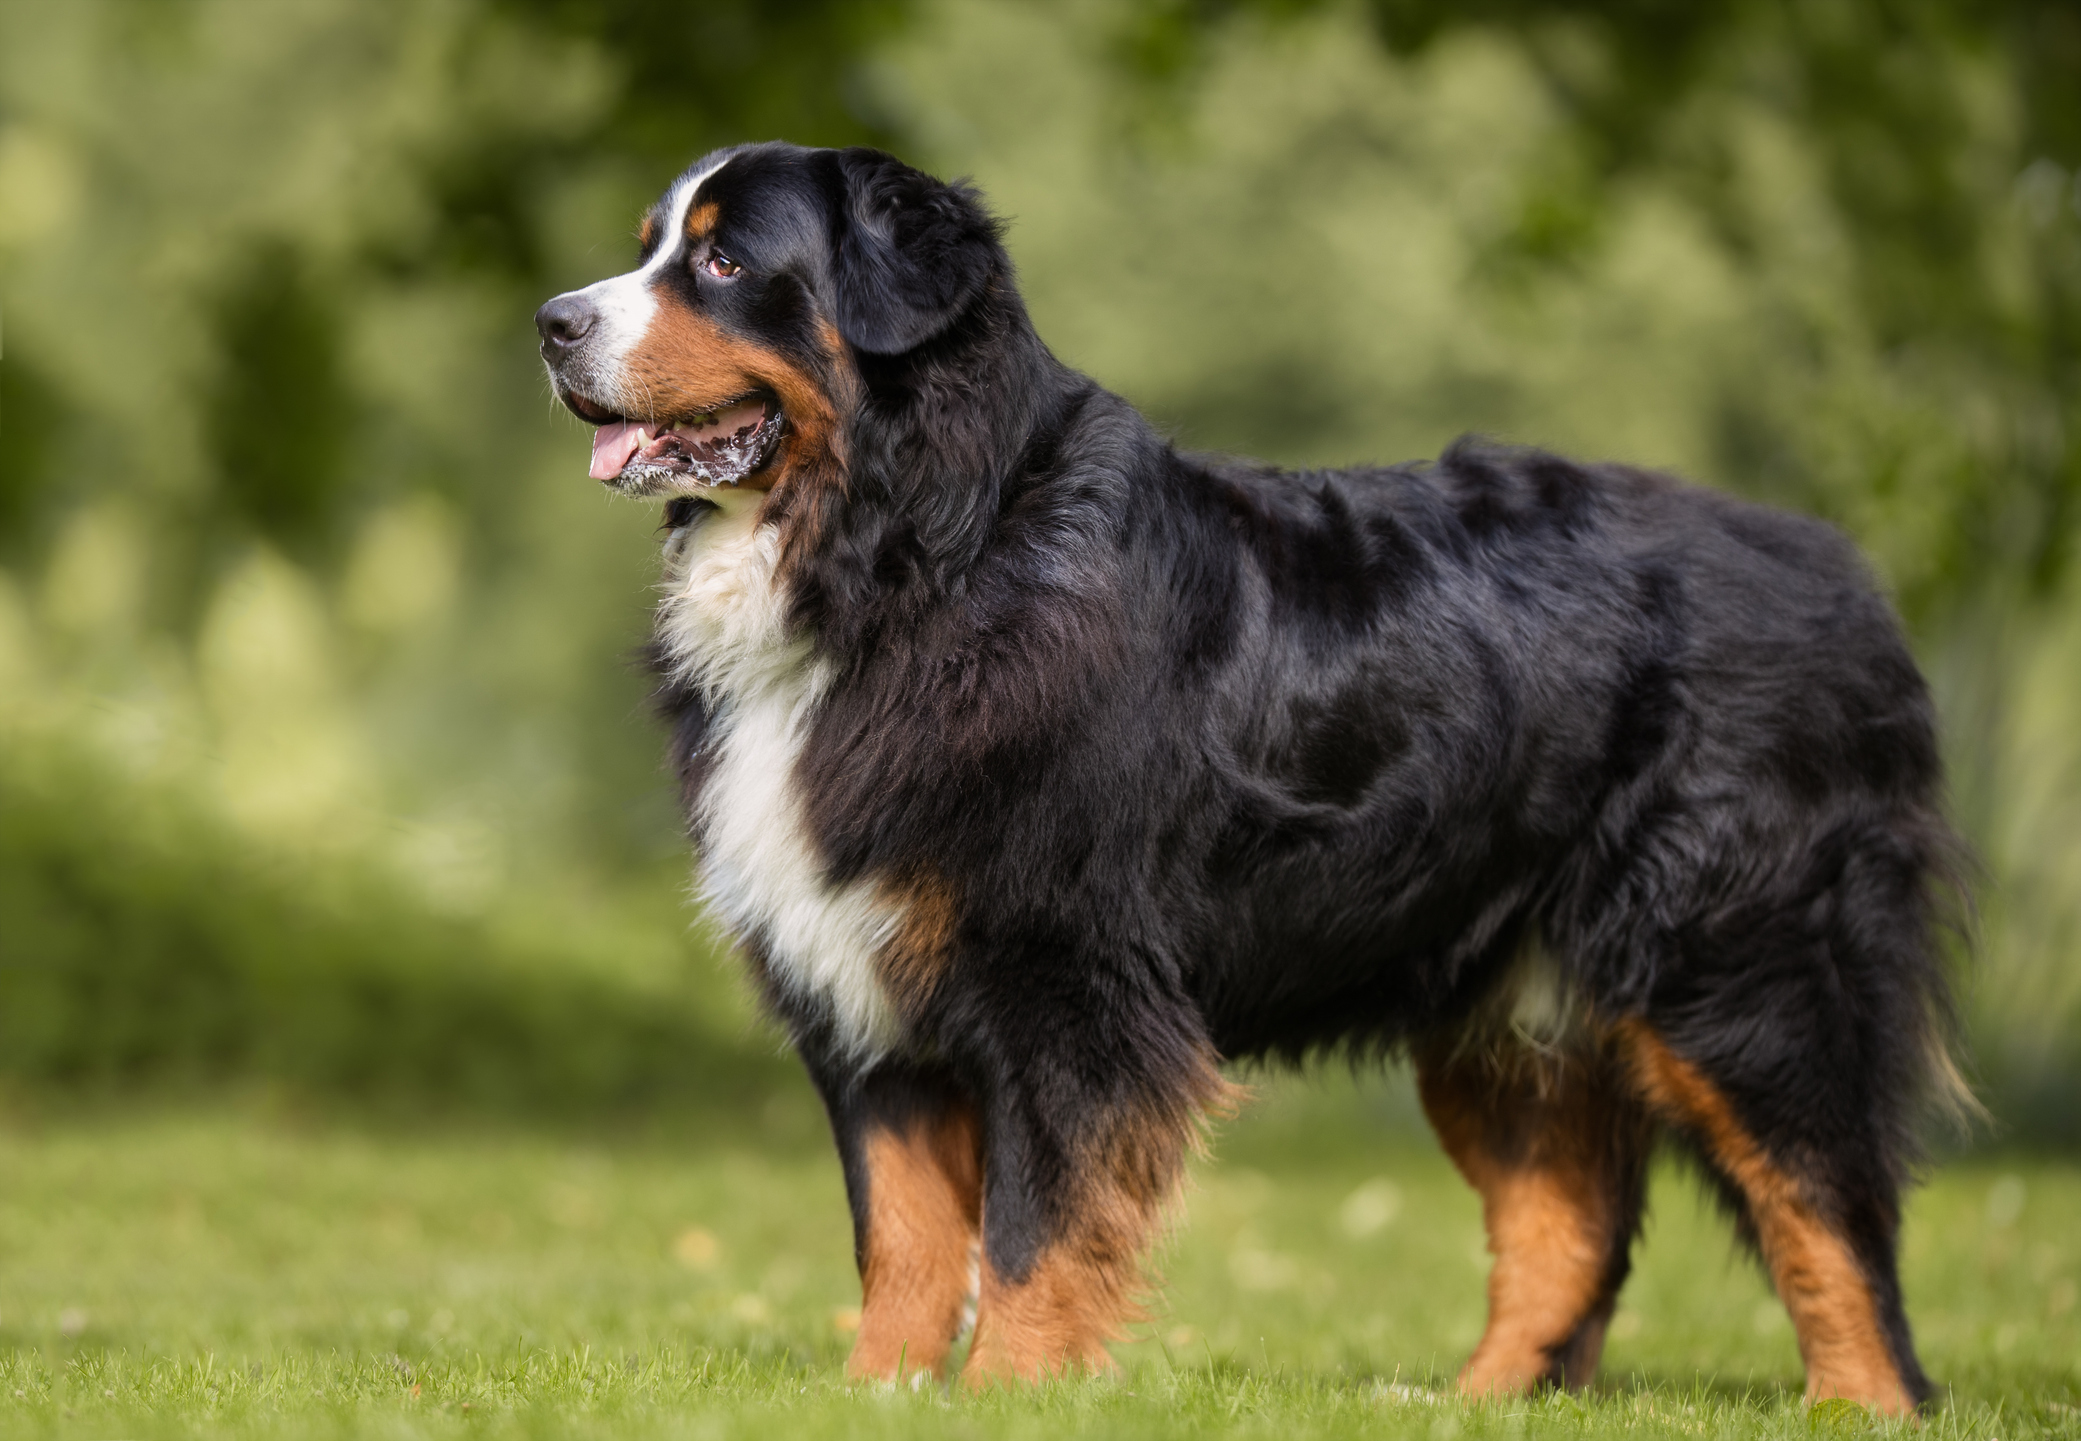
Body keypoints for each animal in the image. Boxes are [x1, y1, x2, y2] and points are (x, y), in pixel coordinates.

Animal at [536, 137, 1964, 1407]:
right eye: (649, 246)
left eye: (722, 260)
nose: (551, 321)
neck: (915, 560)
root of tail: (1840, 575)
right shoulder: (862, 990)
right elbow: (900, 1235)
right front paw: (876, 1394)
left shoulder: (1067, 982)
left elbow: (1035, 1227)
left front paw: (1007, 1392)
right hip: (1499, 1008)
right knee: (1567, 1225)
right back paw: (1463, 1403)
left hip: (1739, 966)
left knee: (1825, 1209)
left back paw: (1858, 1401)